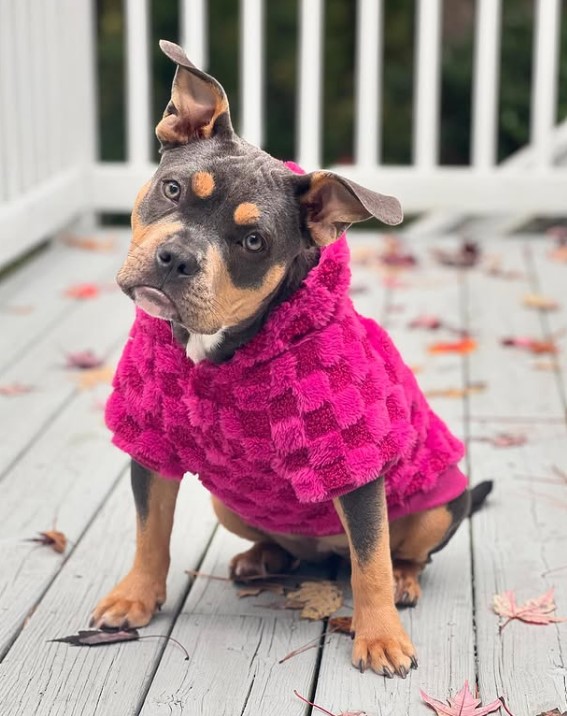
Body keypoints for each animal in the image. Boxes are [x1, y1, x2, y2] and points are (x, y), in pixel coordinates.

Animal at [90, 42, 492, 680]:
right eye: (173, 190)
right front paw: (134, 597)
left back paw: (402, 581)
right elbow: (150, 530)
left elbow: (371, 562)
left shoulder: (355, 461)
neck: (217, 351)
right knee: (286, 546)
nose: (177, 258)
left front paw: (381, 638)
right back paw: (260, 557)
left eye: (253, 242)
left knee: (399, 555)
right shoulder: (149, 440)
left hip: (438, 502)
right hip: (228, 502)